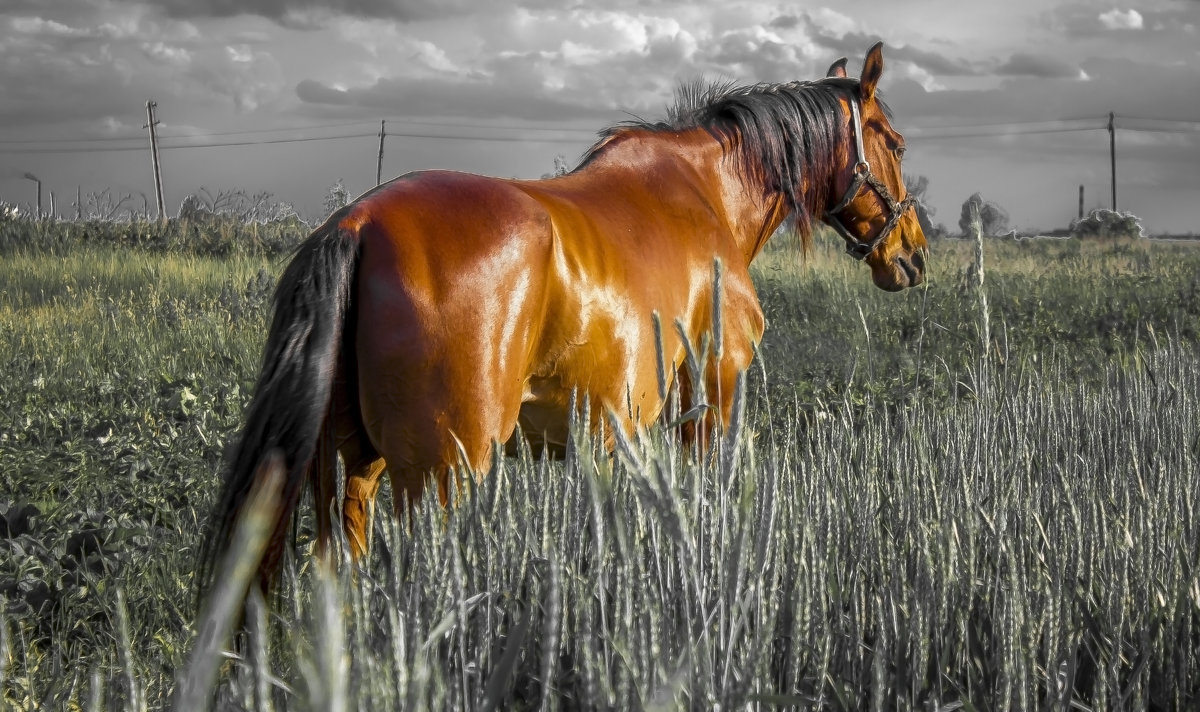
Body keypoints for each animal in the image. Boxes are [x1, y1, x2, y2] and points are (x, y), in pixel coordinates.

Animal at [199, 41, 926, 590]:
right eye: (895, 142)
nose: (913, 253)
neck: (707, 195)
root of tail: (355, 224)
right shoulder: (713, 402)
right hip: (445, 476)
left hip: (351, 471)